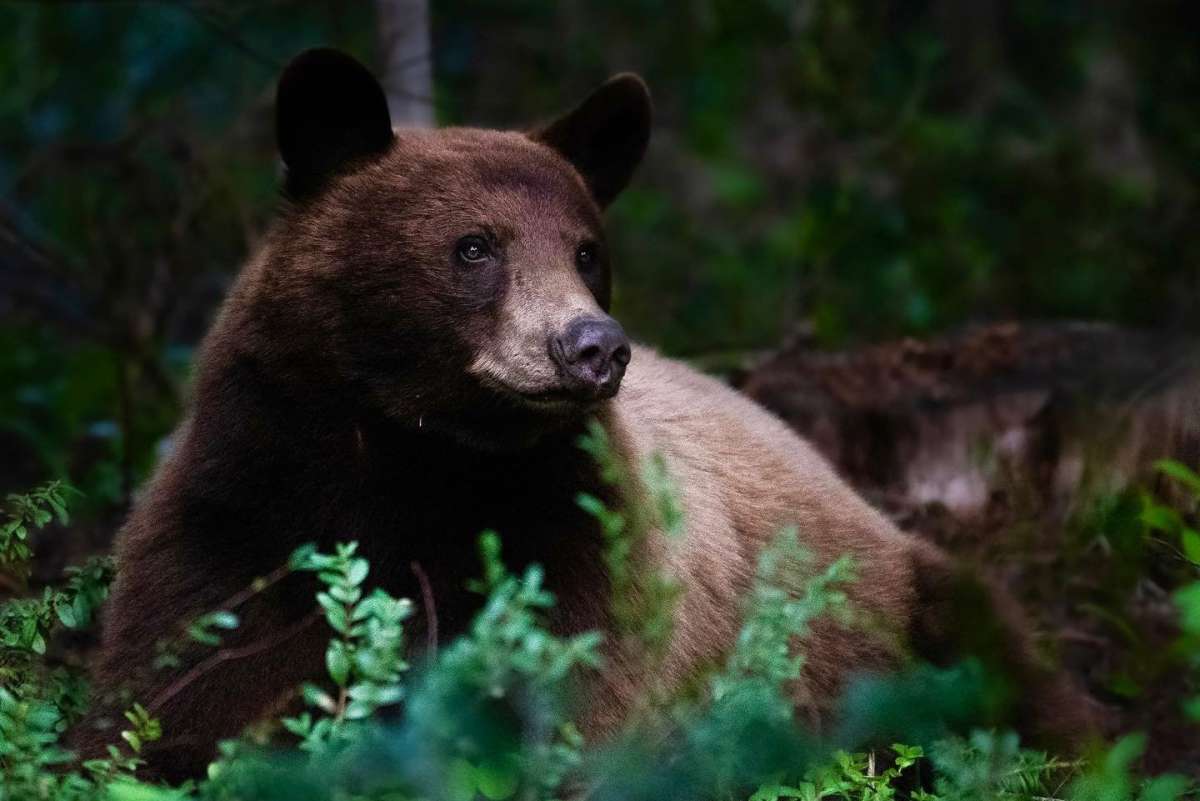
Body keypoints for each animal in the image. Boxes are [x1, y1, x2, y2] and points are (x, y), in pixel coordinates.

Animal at [73, 48, 1093, 780]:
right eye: (473, 246)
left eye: (587, 249)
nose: (593, 346)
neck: (416, 456)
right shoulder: (244, 499)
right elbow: (179, 685)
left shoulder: (577, 531)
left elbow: (575, 703)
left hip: (905, 600)